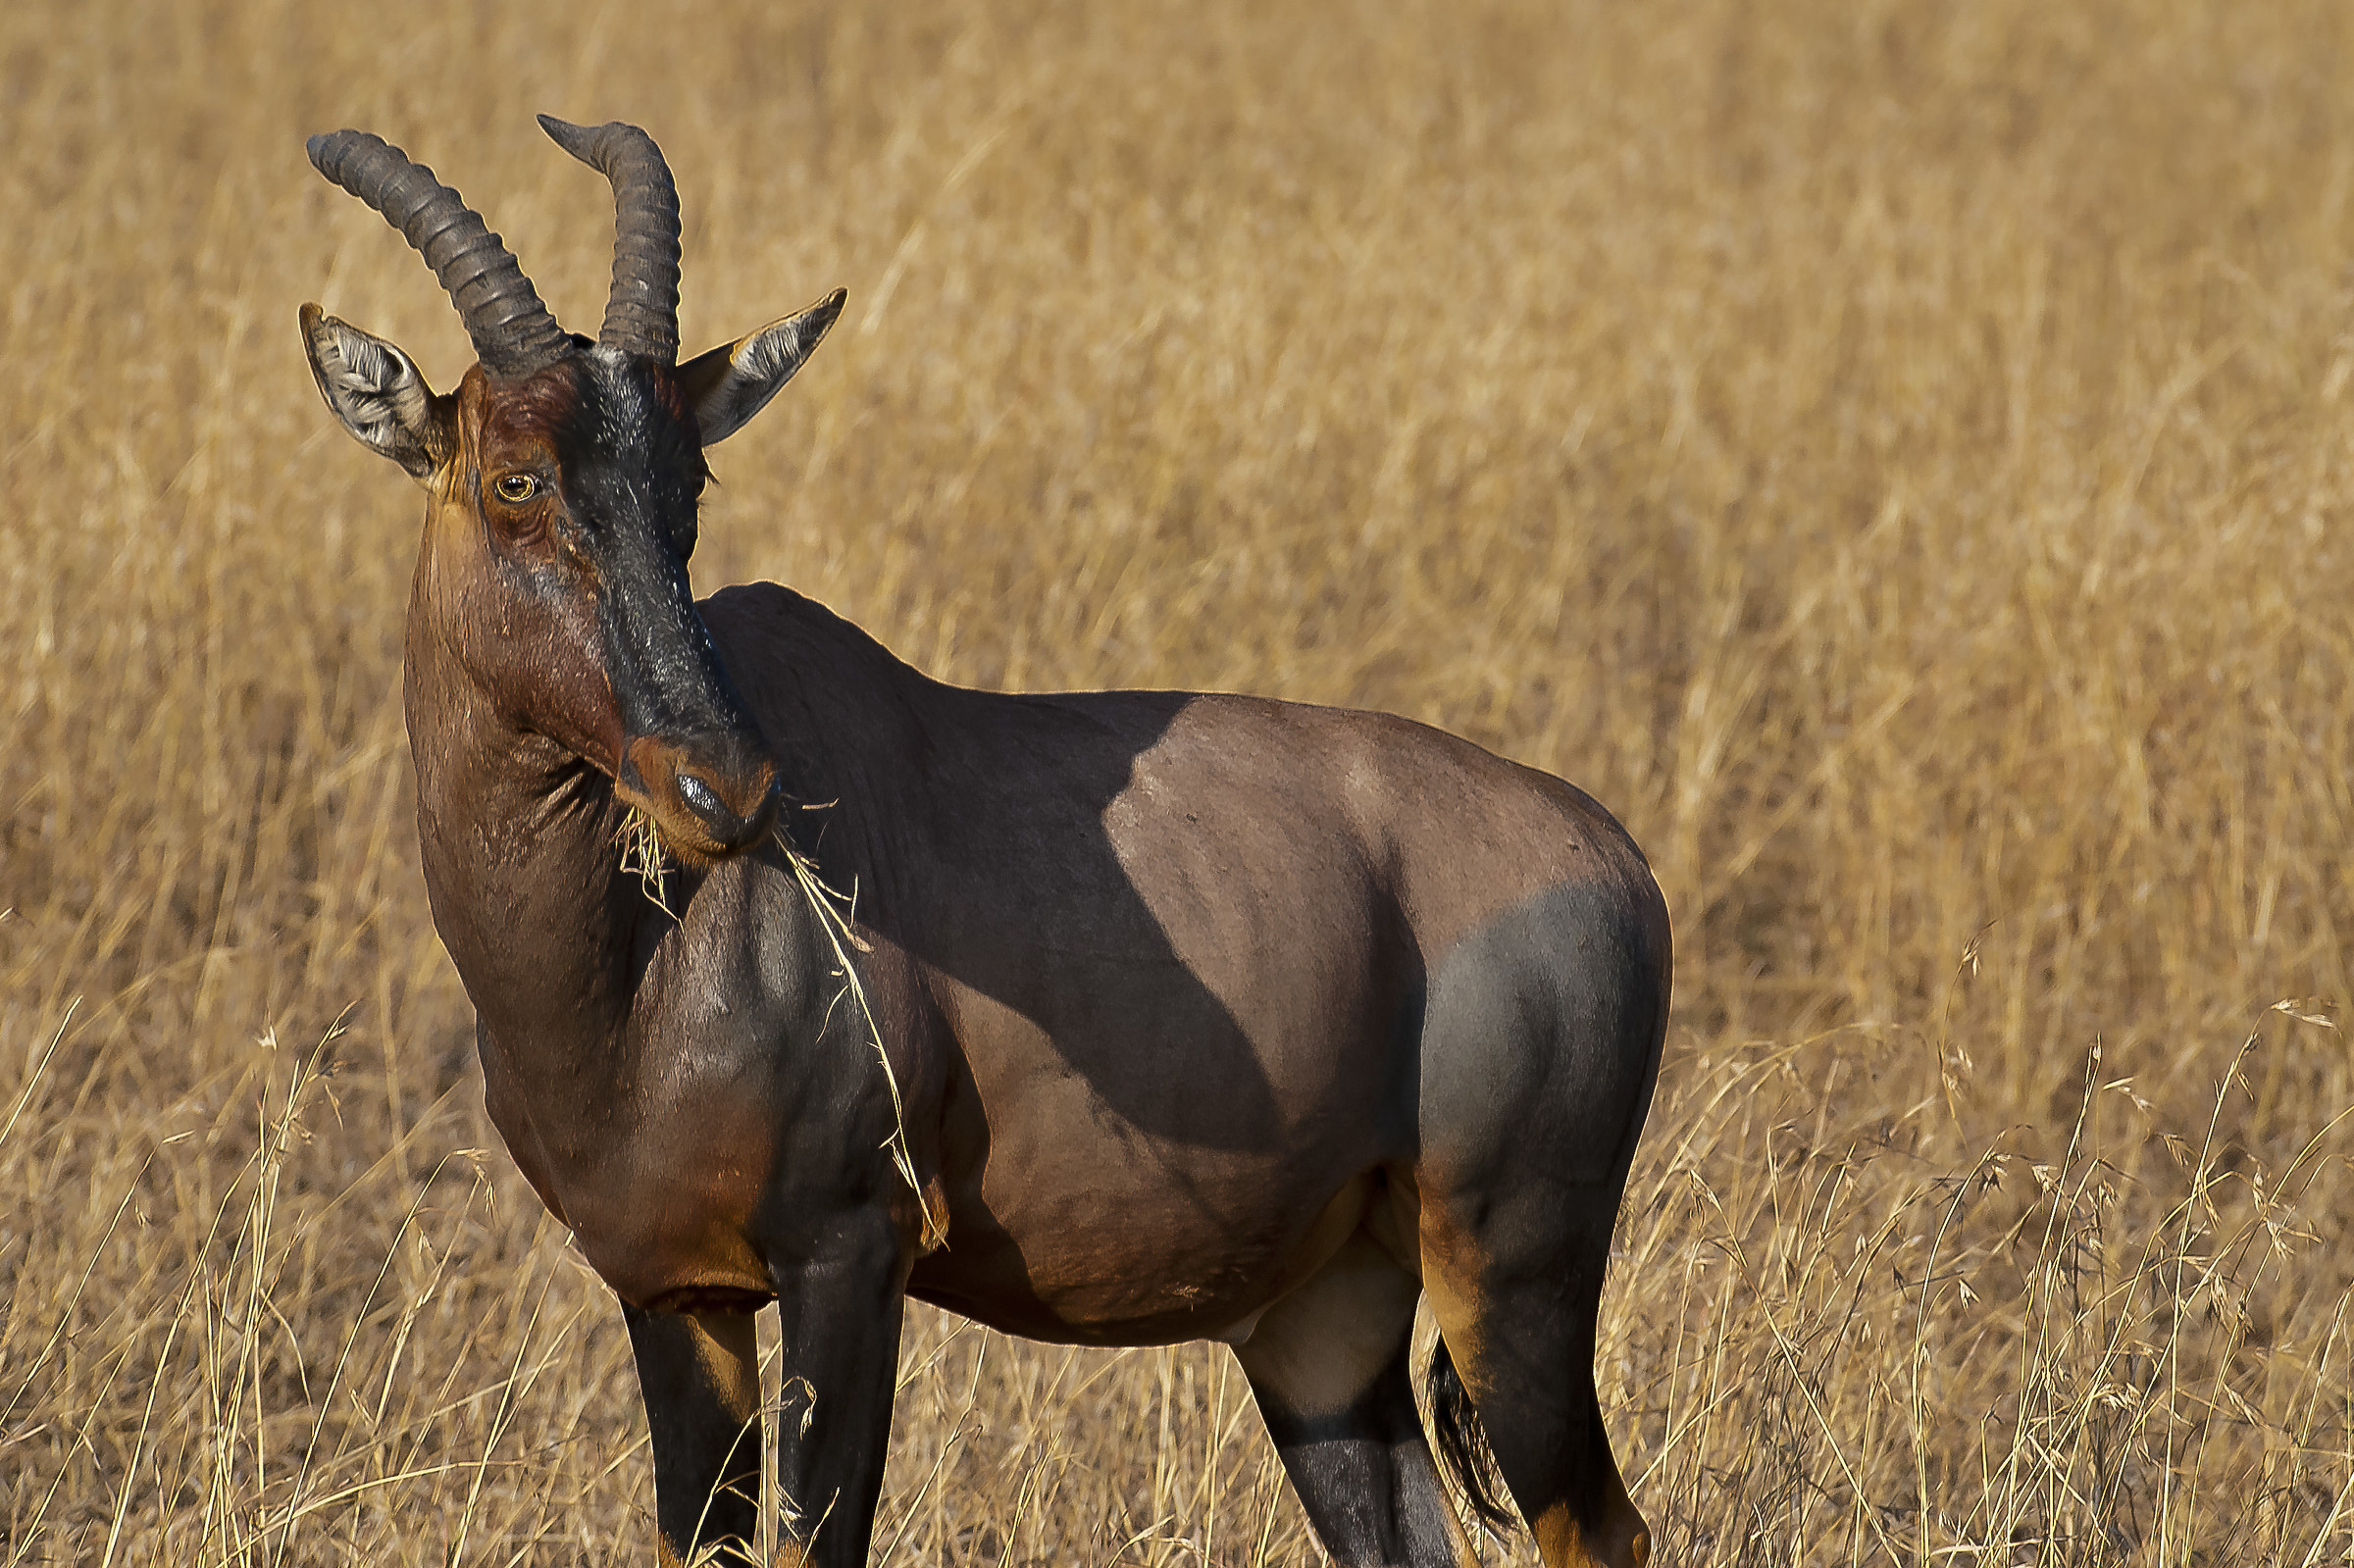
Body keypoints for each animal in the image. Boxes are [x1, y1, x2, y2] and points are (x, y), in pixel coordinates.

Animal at [302, 116, 1668, 1568]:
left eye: (689, 488)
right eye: (515, 478)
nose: (725, 787)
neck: (632, 965)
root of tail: (1614, 856)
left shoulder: (850, 1253)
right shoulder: (673, 1291)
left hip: (1514, 1271)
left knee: (1604, 1526)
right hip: (1326, 1325)